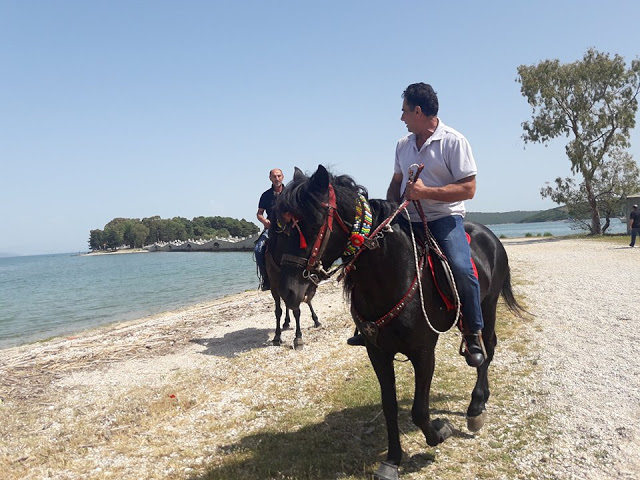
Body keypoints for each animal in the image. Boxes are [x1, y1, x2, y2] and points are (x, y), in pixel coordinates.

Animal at [276, 166, 524, 480]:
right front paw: (393, 459)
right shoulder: (377, 352)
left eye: (311, 224)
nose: (288, 292)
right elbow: (389, 405)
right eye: (282, 228)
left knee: (486, 348)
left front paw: (440, 432)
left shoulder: (423, 352)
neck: (395, 273)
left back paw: (476, 406)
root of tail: (489, 236)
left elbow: (419, 410)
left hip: (487, 305)